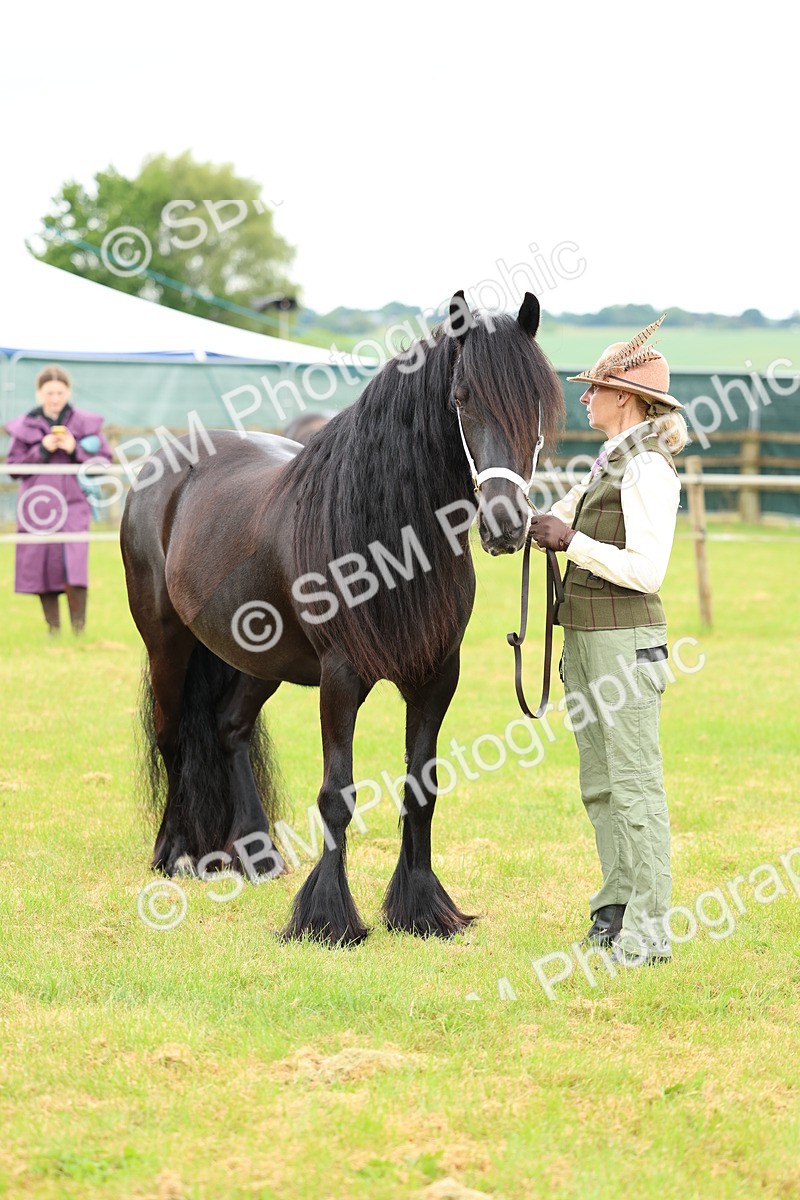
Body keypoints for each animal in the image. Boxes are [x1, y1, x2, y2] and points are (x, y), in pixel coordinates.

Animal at [120, 291, 564, 946]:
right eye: (460, 398)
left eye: (536, 403)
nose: (507, 525)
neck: (389, 538)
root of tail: (166, 463)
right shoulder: (341, 677)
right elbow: (337, 794)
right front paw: (327, 918)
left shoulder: (437, 678)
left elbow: (421, 789)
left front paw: (422, 909)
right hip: (167, 646)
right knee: (173, 735)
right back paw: (175, 853)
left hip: (258, 660)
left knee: (229, 728)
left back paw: (257, 856)